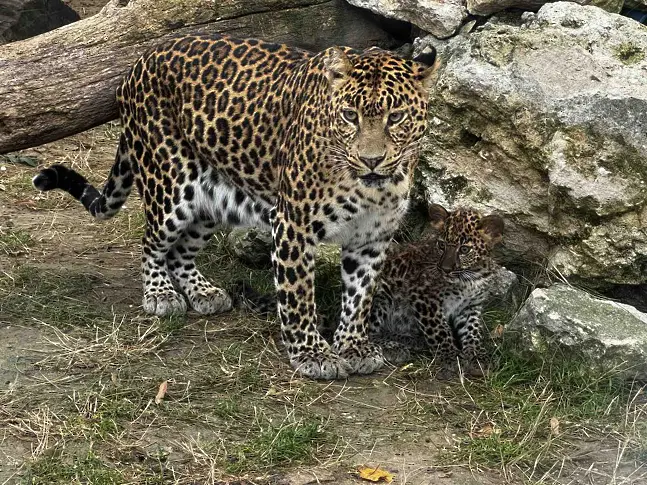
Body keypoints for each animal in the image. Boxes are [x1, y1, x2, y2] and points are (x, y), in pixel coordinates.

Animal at [34, 36, 440, 380]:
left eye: (396, 117)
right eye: (350, 116)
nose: (371, 160)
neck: (373, 188)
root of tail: (139, 62)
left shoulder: (372, 238)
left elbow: (360, 297)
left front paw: (353, 346)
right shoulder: (294, 224)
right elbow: (299, 296)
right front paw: (312, 354)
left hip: (214, 201)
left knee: (181, 251)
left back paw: (202, 292)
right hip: (170, 188)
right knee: (151, 242)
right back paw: (160, 294)